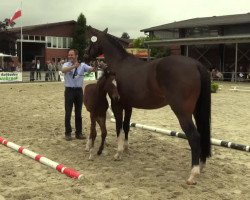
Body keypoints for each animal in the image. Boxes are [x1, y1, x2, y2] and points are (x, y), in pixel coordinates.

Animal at [84, 27, 211, 184]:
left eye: (91, 41)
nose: (85, 56)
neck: (119, 63)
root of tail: (196, 65)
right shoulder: (129, 106)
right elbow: (126, 126)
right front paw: (126, 148)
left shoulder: (117, 104)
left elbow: (119, 127)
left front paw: (118, 153)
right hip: (196, 111)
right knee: (202, 134)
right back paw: (201, 165)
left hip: (183, 113)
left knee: (194, 137)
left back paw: (193, 173)